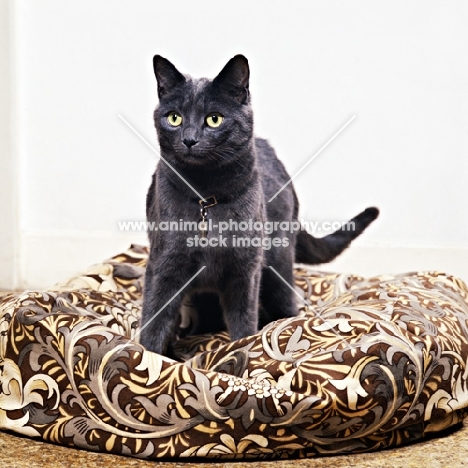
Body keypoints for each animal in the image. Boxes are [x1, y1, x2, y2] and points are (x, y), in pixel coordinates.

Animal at [140, 54, 380, 354]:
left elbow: (244, 323)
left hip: (278, 265)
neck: (207, 197)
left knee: (287, 305)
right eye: (175, 118)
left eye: (214, 119)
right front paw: (151, 357)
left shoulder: (245, 271)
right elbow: (154, 322)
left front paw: (241, 352)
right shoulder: (164, 266)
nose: (190, 139)